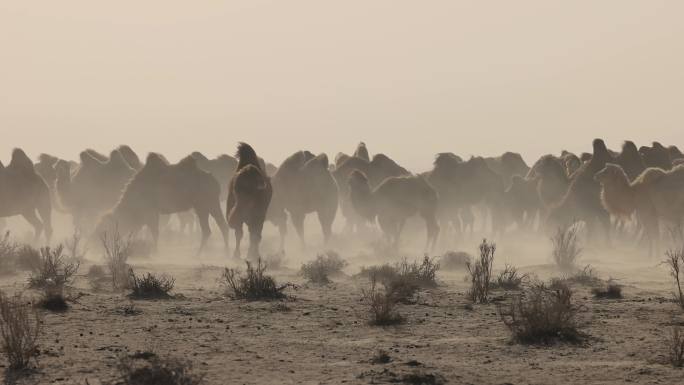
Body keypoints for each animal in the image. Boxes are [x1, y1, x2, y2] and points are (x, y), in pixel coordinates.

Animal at [96, 152, 230, 254]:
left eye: (105, 229)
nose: (96, 244)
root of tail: (214, 181)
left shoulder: (150, 211)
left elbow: (154, 232)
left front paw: (155, 252)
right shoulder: (145, 213)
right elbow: (138, 230)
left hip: (205, 203)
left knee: (210, 229)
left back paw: (201, 254)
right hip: (208, 204)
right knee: (219, 227)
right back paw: (223, 253)